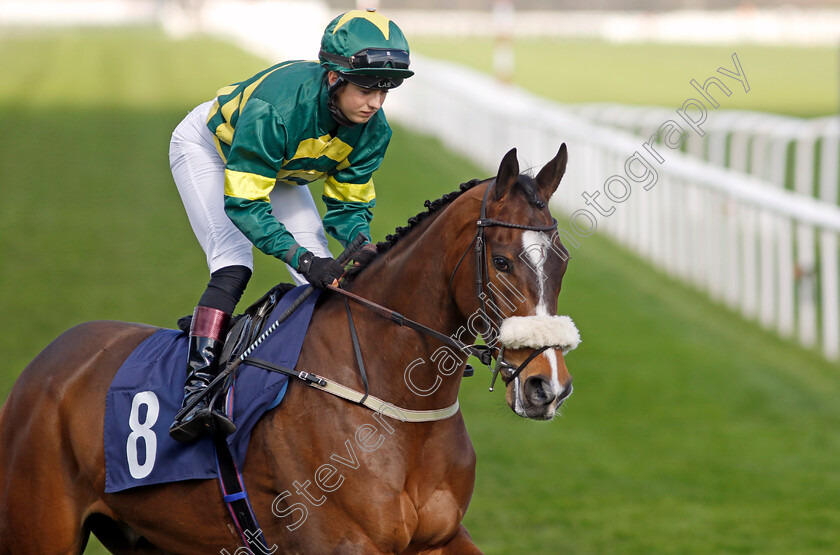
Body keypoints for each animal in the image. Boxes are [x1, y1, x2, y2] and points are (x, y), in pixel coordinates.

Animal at [0, 146, 576, 552]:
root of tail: (46, 361)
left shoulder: (441, 537)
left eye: (563, 260)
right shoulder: (342, 542)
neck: (392, 403)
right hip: (39, 531)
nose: (547, 385)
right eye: (501, 261)